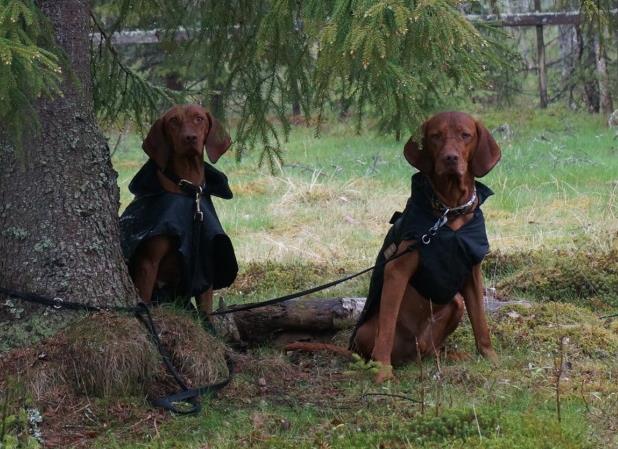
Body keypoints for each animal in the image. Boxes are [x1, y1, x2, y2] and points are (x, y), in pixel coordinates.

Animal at [119, 105, 237, 316]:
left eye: (199, 118)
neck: (188, 192)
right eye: (173, 121)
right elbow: (144, 299)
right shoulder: (148, 262)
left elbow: (206, 312)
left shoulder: (204, 268)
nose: (190, 138)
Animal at [346, 110, 500, 380]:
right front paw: (383, 373)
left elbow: (480, 321)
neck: (449, 212)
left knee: (430, 349)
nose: (450, 158)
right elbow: (386, 329)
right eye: (436, 136)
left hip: (454, 305)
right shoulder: (397, 271)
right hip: (365, 332)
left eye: (466, 135)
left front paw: (490, 357)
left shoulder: (472, 273)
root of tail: (412, 353)